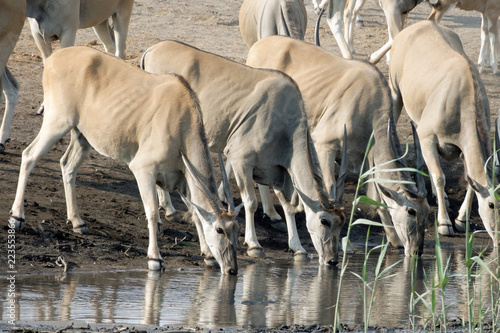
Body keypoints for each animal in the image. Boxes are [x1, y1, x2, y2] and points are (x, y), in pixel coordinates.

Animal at [7, 47, 242, 274]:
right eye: (220, 229)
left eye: (235, 230)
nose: (232, 269)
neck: (182, 120)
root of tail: (53, 59)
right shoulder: (144, 169)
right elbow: (152, 212)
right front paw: (155, 259)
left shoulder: (182, 178)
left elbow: (195, 214)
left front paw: (208, 256)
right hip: (57, 122)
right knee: (29, 155)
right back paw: (17, 217)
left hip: (83, 137)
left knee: (67, 165)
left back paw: (77, 222)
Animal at [140, 40, 344, 264]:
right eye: (325, 221)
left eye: (341, 224)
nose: (332, 260)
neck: (284, 120)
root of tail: (153, 48)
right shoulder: (241, 160)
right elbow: (251, 203)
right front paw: (254, 245)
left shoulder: (276, 171)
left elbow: (287, 205)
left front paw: (297, 247)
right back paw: (168, 212)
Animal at [246, 35, 430, 254]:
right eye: (411, 211)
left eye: (427, 211)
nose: (417, 250)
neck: (369, 104)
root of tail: (259, 45)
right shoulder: (324, 145)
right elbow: (329, 187)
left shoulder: (365, 158)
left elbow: (375, 196)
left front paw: (394, 240)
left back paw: (272, 213)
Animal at [390, 21, 500, 244]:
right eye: (492, 204)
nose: (498, 238)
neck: (463, 97)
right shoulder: (427, 137)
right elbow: (440, 177)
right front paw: (445, 224)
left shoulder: (463, 148)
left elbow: (469, 180)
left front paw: (461, 220)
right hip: (395, 93)